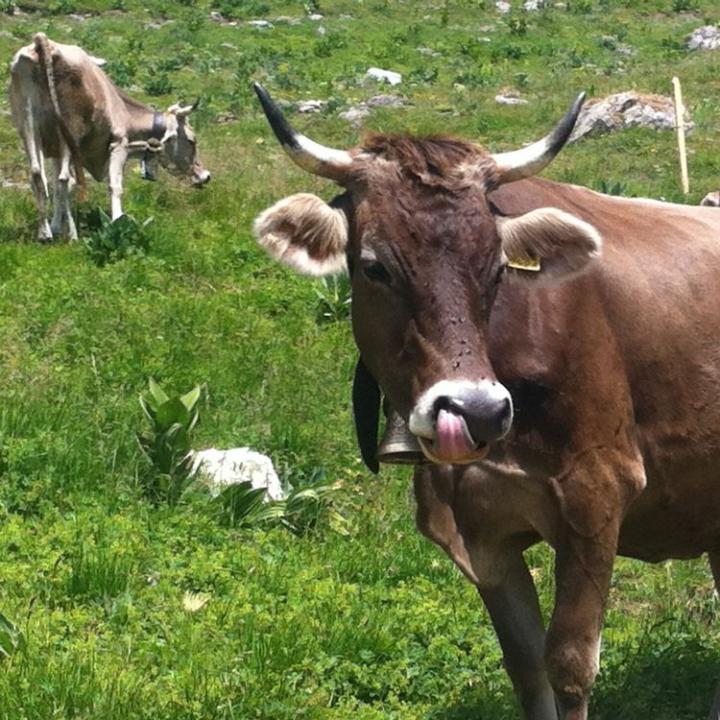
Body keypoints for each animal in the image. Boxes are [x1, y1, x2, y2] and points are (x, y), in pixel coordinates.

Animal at [9, 33, 211, 242]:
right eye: (192, 140)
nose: (205, 176)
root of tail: (42, 40)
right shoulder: (118, 144)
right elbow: (115, 186)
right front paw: (117, 221)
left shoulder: (55, 150)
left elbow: (56, 189)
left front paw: (56, 226)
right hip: (70, 130)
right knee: (65, 179)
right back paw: (72, 235)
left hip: (28, 124)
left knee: (37, 175)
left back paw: (44, 233)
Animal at [252, 83, 720, 720]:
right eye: (373, 266)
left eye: (499, 266)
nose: (474, 411)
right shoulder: (479, 532)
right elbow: (526, 667)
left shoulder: (597, 493)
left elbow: (569, 665)